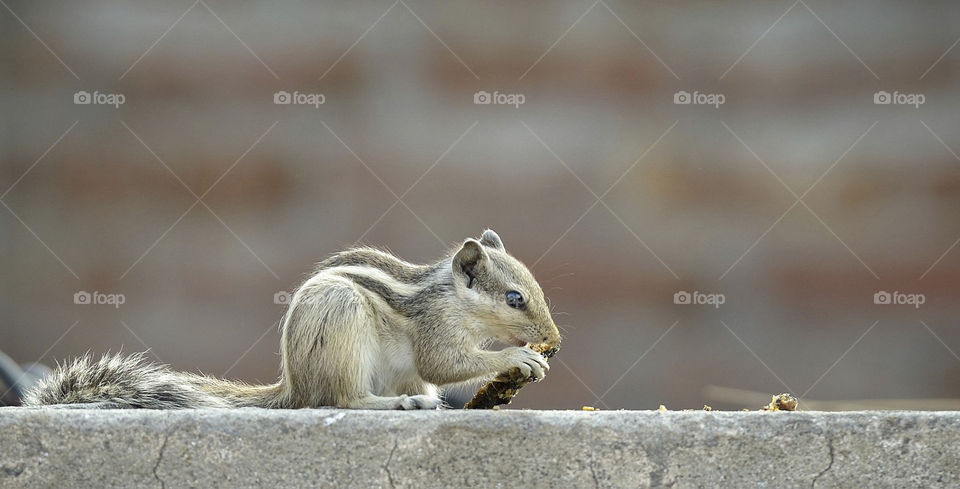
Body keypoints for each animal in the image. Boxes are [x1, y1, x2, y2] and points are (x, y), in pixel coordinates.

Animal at [23, 229, 562, 409]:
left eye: (537, 289)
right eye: (515, 298)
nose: (553, 340)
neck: (451, 298)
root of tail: (294, 387)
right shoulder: (436, 329)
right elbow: (444, 363)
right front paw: (518, 358)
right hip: (342, 323)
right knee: (343, 400)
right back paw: (395, 404)